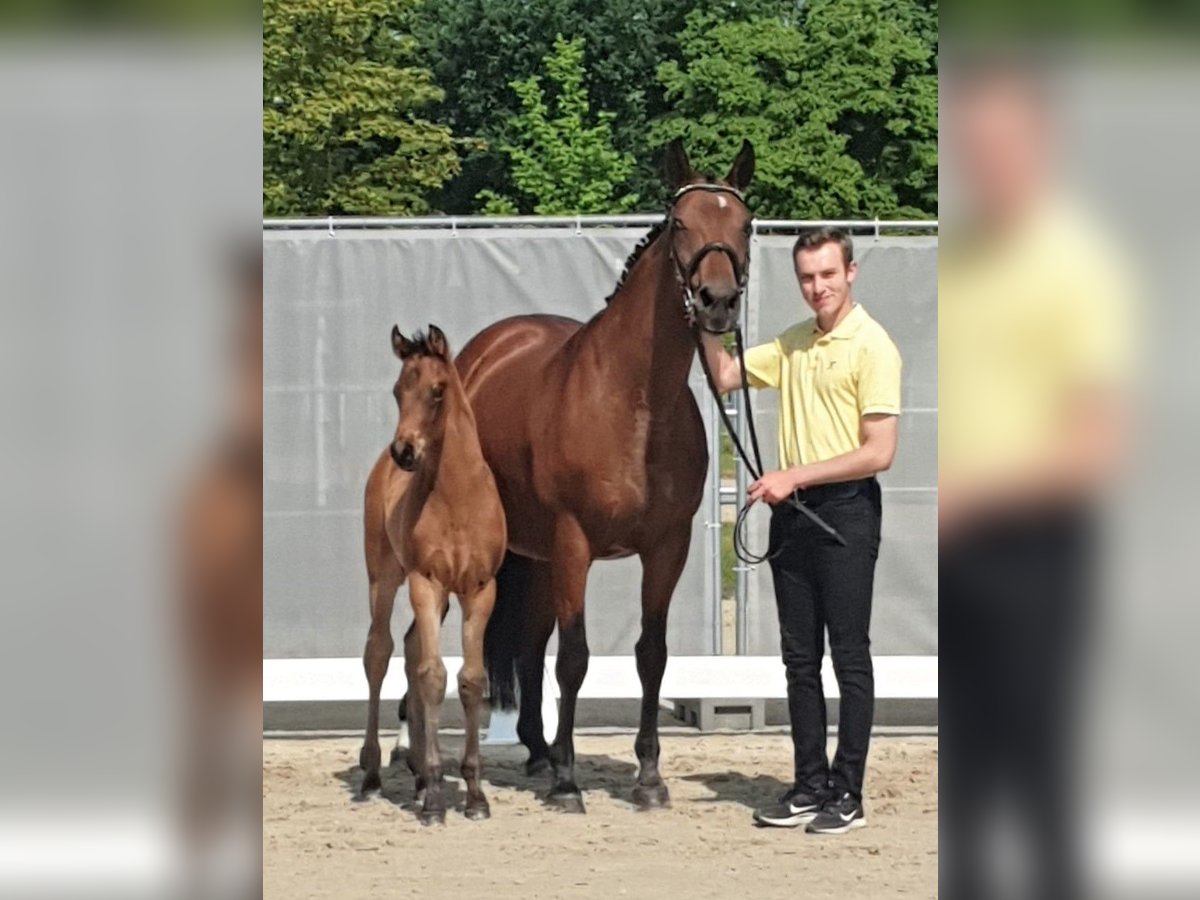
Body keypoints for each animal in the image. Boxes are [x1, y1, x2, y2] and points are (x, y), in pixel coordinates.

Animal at [357, 324, 504, 825]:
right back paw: (372, 774)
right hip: (384, 576)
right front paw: (438, 798)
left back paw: (419, 775)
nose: (404, 451)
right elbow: (434, 676)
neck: (458, 497)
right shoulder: (426, 582)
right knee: (379, 652)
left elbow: (472, 680)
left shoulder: (480, 589)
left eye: (437, 391)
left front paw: (474, 796)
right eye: (397, 390)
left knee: (408, 648)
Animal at [458, 139, 748, 811]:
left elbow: (651, 655)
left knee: (529, 644)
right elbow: (575, 658)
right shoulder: (574, 543)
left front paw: (649, 778)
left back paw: (538, 750)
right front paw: (569, 784)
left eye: (745, 225)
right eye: (681, 224)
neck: (633, 403)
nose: (718, 303)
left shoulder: (667, 546)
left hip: (534, 557)